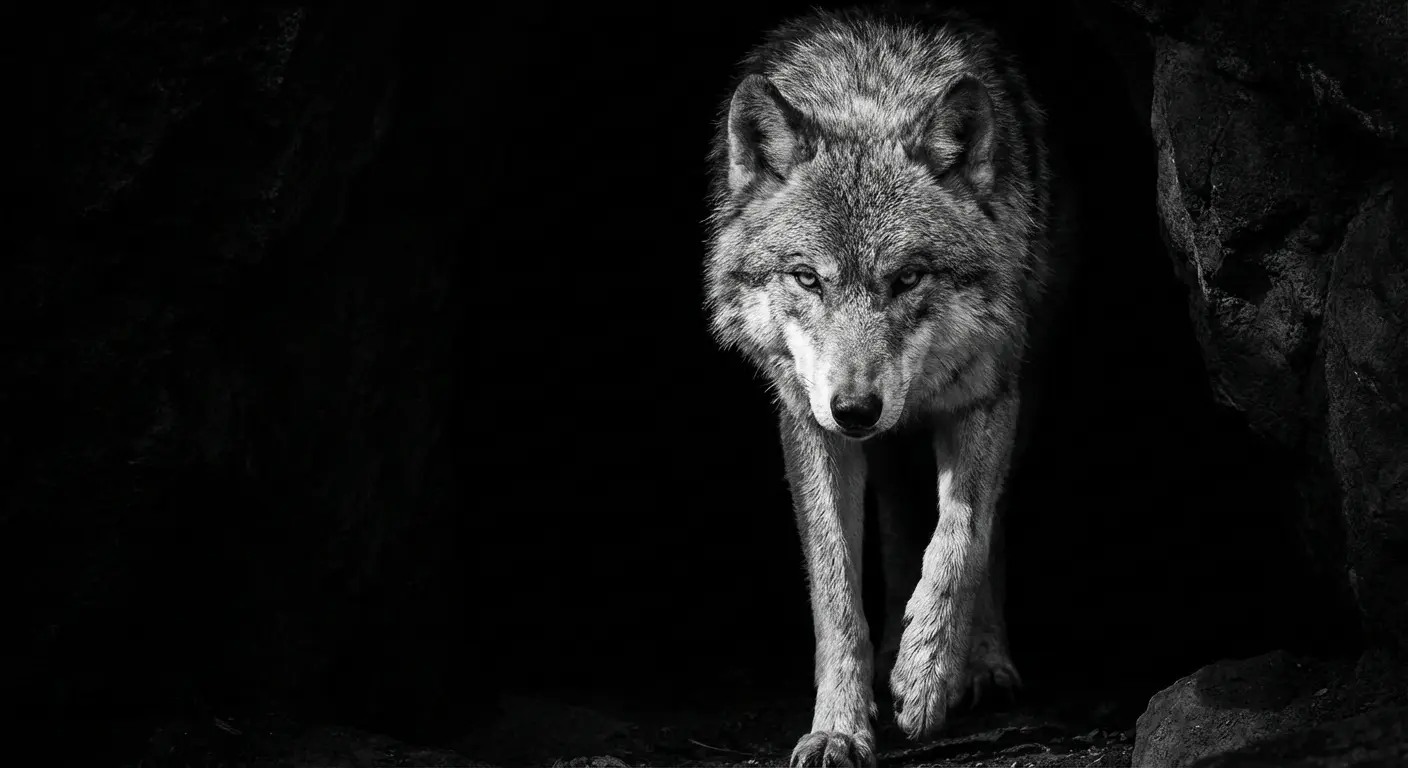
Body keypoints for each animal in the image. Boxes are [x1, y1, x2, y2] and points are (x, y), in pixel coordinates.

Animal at [703, 5, 1069, 767]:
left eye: (907, 278)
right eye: (806, 278)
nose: (855, 409)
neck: (869, 91)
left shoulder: (987, 395)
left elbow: (962, 537)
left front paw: (928, 673)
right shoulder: (807, 423)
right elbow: (837, 594)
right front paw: (839, 727)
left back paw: (978, 664)